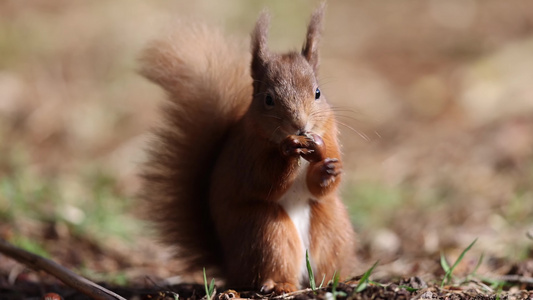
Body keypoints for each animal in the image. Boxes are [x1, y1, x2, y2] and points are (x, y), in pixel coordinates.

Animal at [140, 2, 358, 292]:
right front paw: (288, 152)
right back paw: (280, 285)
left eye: (318, 93)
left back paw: (338, 279)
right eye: (268, 99)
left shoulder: (329, 136)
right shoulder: (247, 153)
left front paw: (329, 170)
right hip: (264, 232)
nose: (300, 126)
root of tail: (231, 268)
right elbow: (264, 181)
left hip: (332, 228)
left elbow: (320, 187)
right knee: (272, 265)